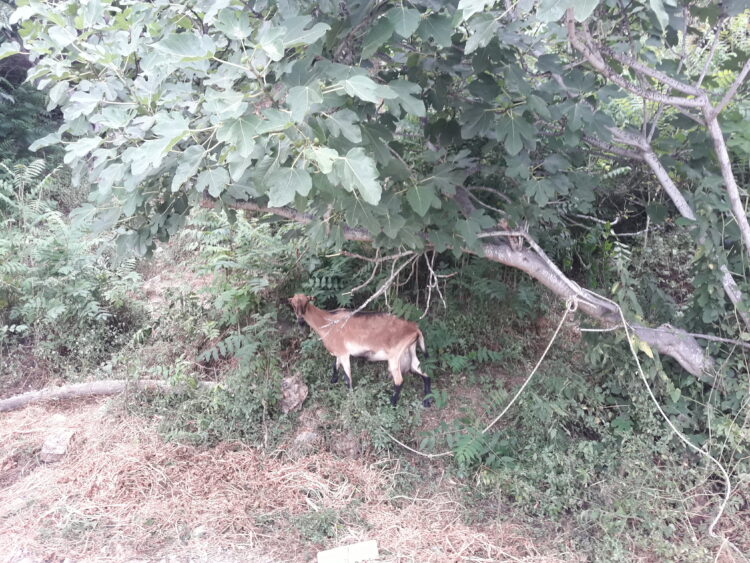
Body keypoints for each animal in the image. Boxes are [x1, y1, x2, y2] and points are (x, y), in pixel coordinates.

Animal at [290, 294, 438, 408]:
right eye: (293, 304)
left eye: (306, 303)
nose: (300, 320)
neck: (327, 322)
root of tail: (415, 329)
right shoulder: (339, 351)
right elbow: (334, 365)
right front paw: (333, 380)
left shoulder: (344, 353)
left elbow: (348, 376)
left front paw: (350, 396)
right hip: (409, 352)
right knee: (424, 372)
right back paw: (427, 400)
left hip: (394, 356)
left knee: (399, 381)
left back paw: (392, 403)